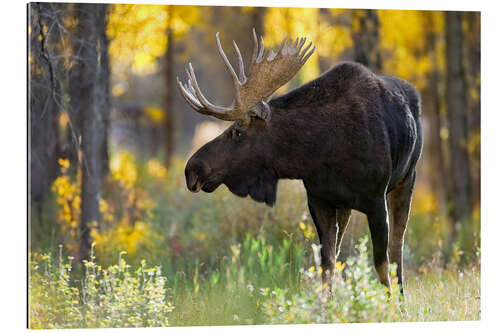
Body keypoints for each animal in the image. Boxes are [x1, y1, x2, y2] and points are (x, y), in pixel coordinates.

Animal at [178, 29, 424, 294]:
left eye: (237, 131)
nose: (192, 169)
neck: (322, 149)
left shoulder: (376, 200)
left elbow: (381, 264)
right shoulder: (319, 199)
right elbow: (327, 262)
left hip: (406, 181)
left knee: (397, 249)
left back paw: (402, 299)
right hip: (346, 204)